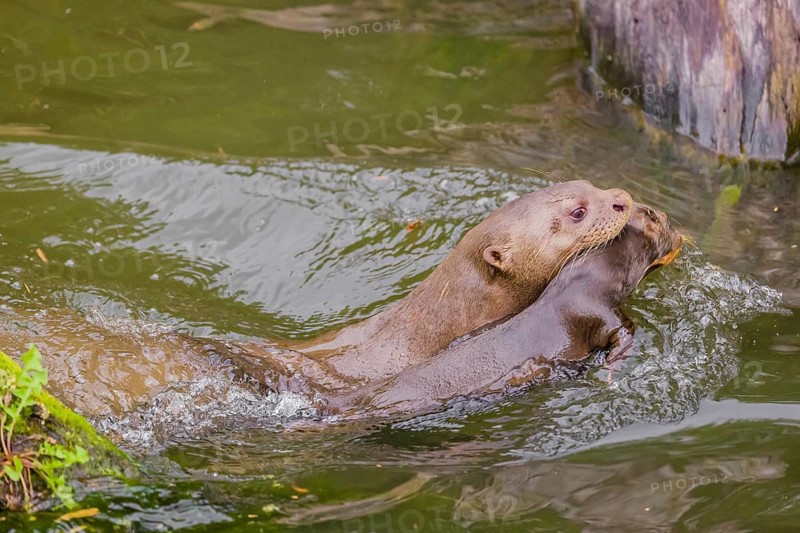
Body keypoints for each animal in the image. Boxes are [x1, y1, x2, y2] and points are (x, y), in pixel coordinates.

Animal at [324, 203, 682, 416]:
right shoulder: (598, 313)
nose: (677, 228)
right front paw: (611, 375)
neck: (584, 281)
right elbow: (620, 336)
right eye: (660, 219)